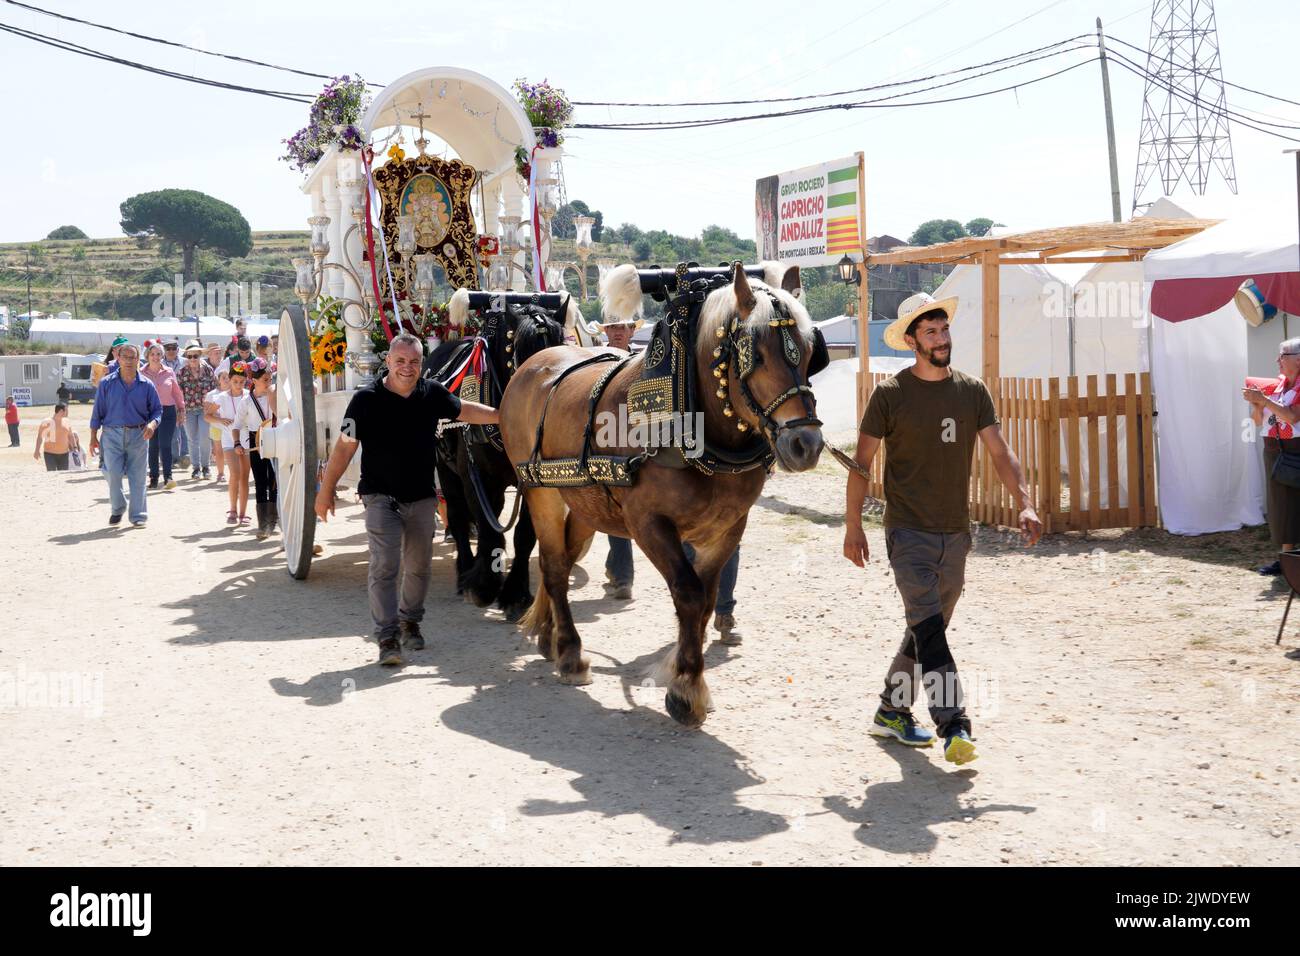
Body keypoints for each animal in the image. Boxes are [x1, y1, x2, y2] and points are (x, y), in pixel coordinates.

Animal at [423, 291, 572, 621]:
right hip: (446, 469)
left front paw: (515, 592)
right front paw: (484, 585)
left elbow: (524, 534)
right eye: (519, 352)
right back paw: (465, 570)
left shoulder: (533, 479)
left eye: (561, 346)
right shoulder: (476, 476)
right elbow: (489, 527)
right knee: (458, 516)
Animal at [496, 261, 821, 723]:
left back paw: (548, 634)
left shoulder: (728, 527)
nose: (806, 444)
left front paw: (685, 675)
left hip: (586, 503)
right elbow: (688, 594)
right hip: (541, 492)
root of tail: (533, 363)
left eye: (810, 352)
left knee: (562, 556)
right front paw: (686, 688)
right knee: (555, 566)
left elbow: (706, 601)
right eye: (754, 354)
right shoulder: (648, 523)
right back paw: (571, 654)